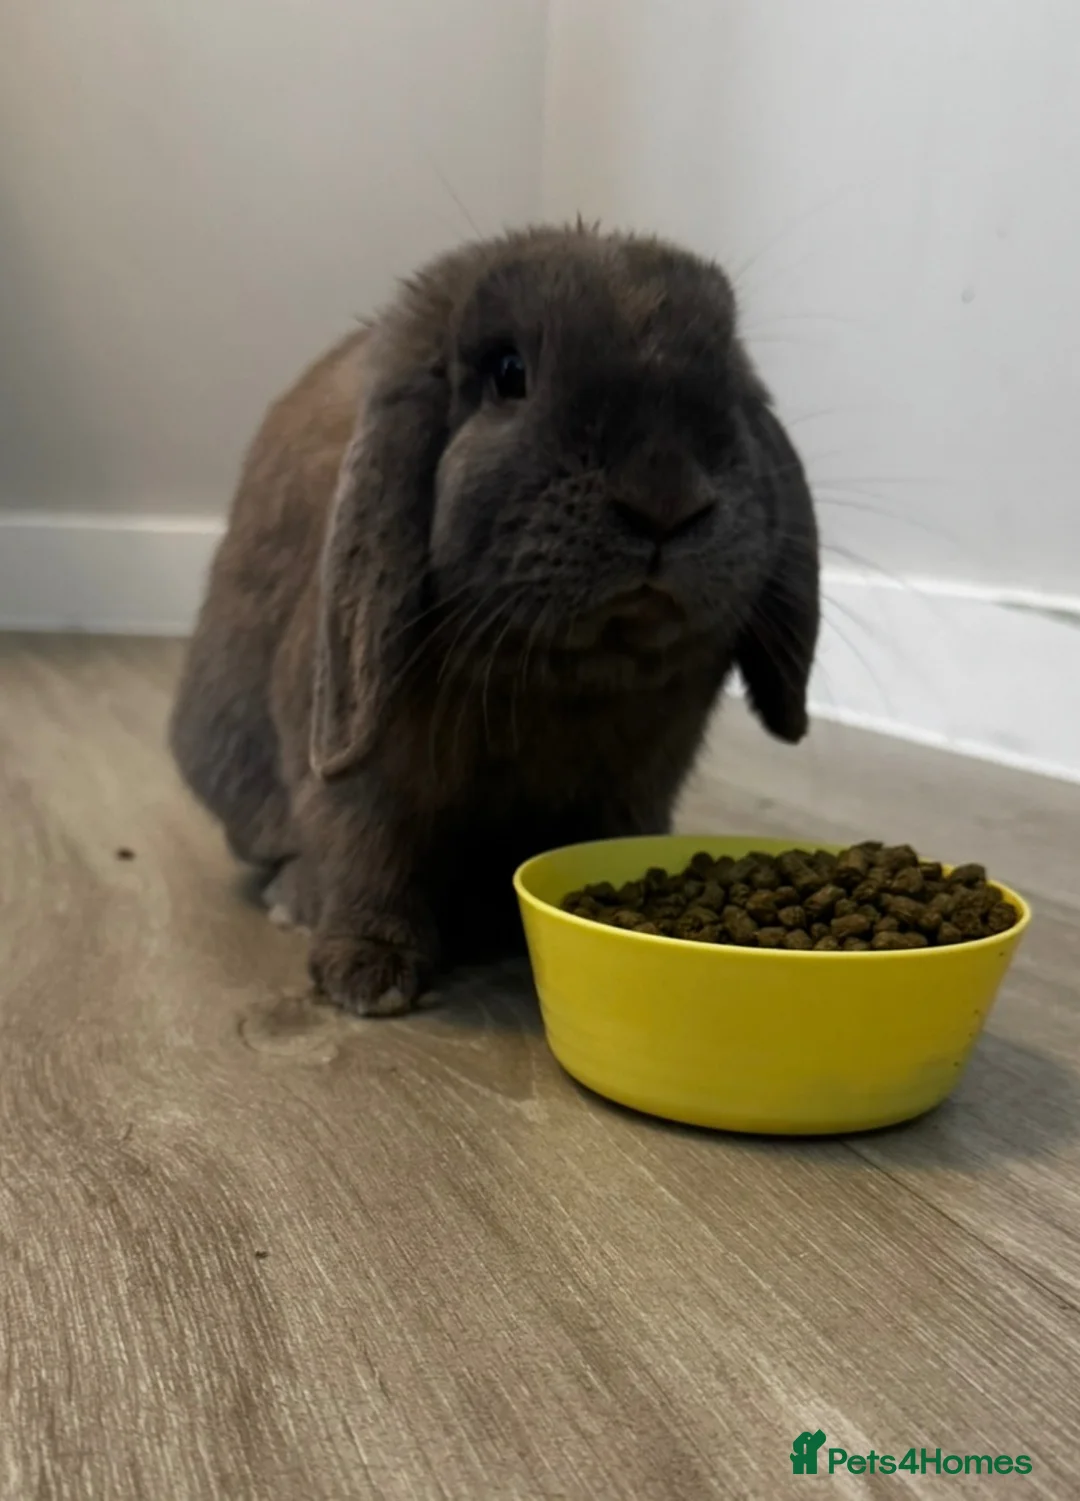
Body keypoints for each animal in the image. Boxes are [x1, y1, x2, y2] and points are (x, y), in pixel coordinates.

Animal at [170, 225, 819, 1015]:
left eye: (726, 372)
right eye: (509, 372)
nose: (665, 497)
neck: (567, 677)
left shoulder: (636, 786)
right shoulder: (364, 777)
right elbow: (366, 852)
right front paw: (368, 974)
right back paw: (298, 902)